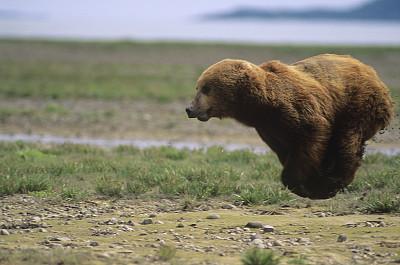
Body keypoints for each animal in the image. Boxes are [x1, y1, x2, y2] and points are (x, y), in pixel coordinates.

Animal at [185, 54, 394, 198]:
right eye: (198, 87)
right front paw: (309, 181)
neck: (261, 104)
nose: (190, 108)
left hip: (357, 104)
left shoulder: (298, 110)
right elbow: (286, 149)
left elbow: (311, 138)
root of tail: (373, 73)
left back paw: (334, 182)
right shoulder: (269, 127)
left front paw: (304, 184)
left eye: (206, 88)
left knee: (347, 140)